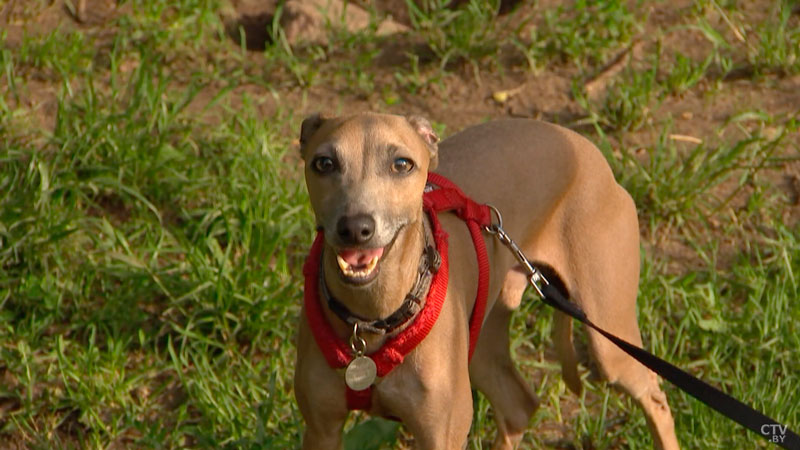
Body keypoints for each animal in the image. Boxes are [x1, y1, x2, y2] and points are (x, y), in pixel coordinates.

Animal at [290, 110, 680, 448]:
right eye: (324, 163)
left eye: (402, 164)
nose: (356, 228)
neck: (372, 320)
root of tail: (587, 148)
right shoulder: (321, 430)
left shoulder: (441, 438)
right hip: (482, 342)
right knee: (519, 406)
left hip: (609, 342)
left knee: (656, 397)